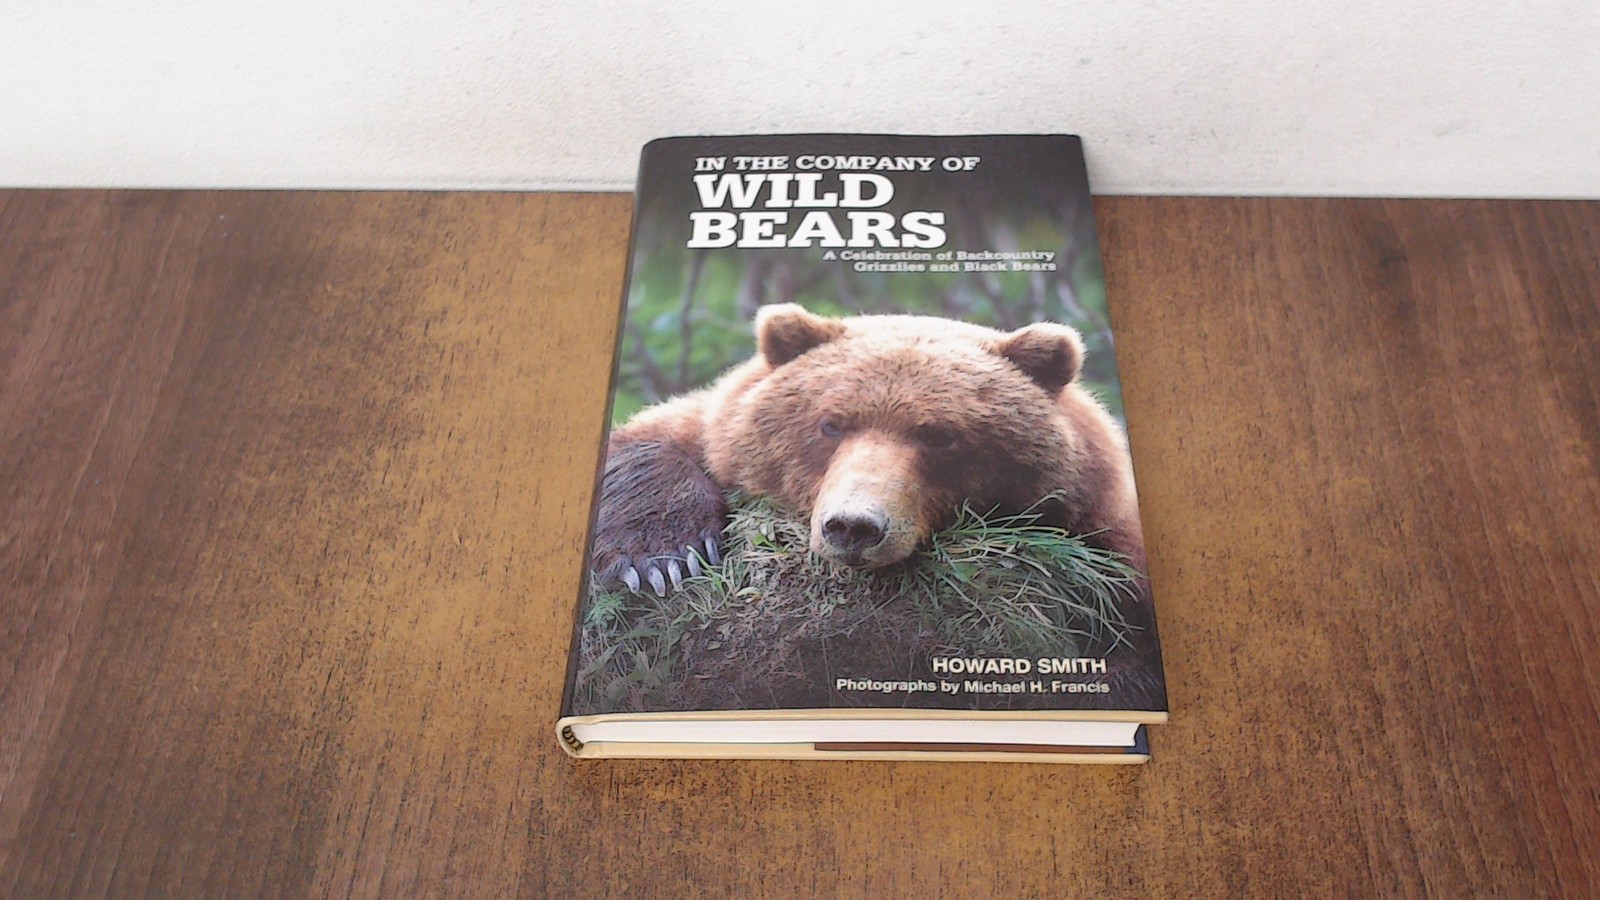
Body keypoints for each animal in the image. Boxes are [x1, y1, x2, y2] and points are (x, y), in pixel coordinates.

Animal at [590, 302, 1147, 599]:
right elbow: (649, 447)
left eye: (941, 435)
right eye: (830, 424)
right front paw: (660, 562)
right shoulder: (710, 425)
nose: (853, 527)